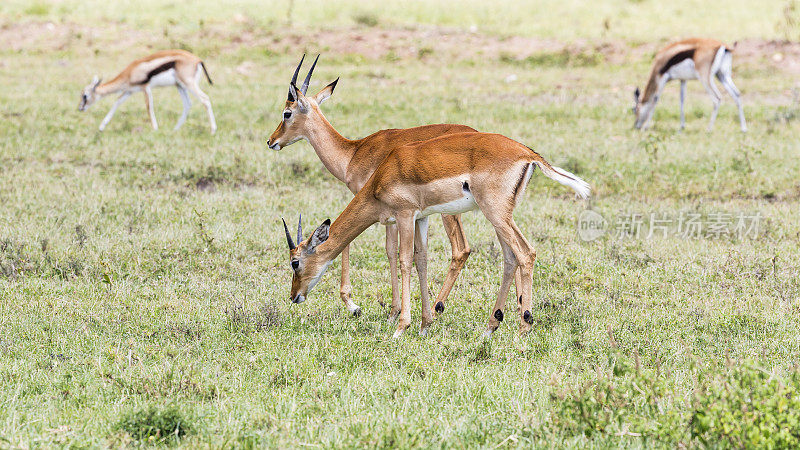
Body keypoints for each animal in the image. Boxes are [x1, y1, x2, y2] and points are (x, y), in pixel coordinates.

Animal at [79, 49, 217, 134]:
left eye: (85, 96)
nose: (80, 108)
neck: (130, 72)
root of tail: (198, 60)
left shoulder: (145, 88)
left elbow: (149, 107)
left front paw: (155, 129)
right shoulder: (130, 91)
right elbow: (117, 102)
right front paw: (101, 127)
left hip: (189, 84)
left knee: (205, 99)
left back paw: (212, 131)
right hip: (180, 86)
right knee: (187, 104)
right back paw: (175, 129)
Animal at [268, 54, 478, 318]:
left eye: (286, 113)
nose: (271, 141)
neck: (353, 153)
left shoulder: (375, 203)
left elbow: (382, 249)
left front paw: (357, 305)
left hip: (447, 211)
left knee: (461, 249)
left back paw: (437, 306)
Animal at [280, 127, 588, 338]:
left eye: (295, 262)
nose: (295, 296)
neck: (384, 173)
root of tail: (528, 154)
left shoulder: (405, 215)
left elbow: (404, 260)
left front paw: (400, 327)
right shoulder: (422, 218)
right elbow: (422, 260)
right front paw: (425, 325)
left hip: (496, 214)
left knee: (526, 253)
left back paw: (523, 329)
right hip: (501, 217)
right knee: (510, 258)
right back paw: (490, 328)